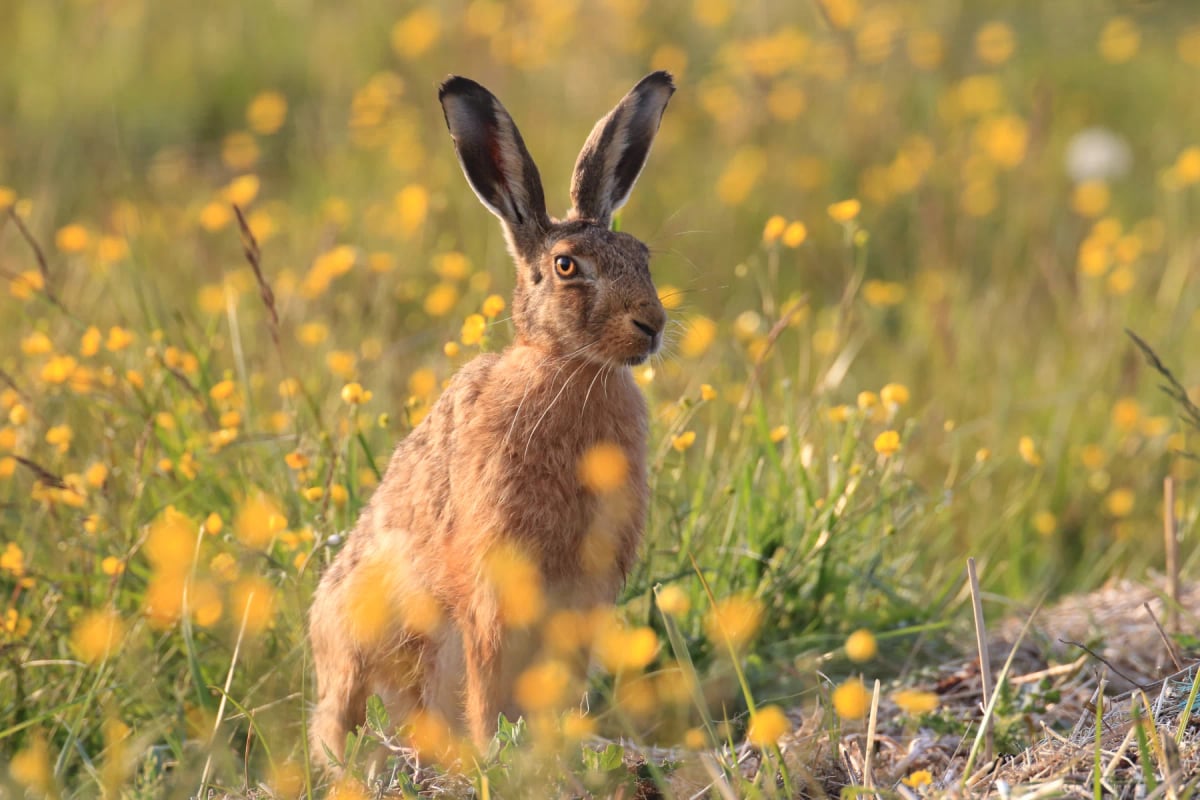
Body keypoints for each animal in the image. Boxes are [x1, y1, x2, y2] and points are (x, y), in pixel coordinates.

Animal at [308, 71, 675, 766]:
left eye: (644, 253)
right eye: (566, 266)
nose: (652, 324)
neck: (566, 366)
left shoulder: (583, 597)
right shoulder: (490, 589)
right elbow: (486, 684)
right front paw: (495, 756)